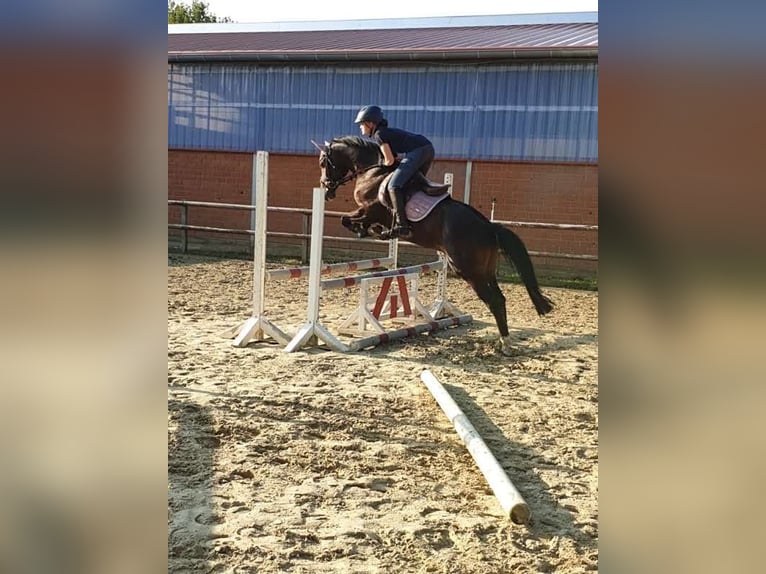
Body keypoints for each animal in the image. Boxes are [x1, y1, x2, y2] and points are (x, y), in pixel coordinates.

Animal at [316, 137, 556, 358]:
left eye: (324, 162)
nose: (326, 189)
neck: (372, 171)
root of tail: (489, 227)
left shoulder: (370, 210)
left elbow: (347, 220)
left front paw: (369, 231)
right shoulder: (366, 211)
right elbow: (349, 219)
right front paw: (371, 231)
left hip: (468, 271)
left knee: (495, 300)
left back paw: (505, 345)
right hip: (485, 270)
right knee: (500, 298)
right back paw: (504, 340)